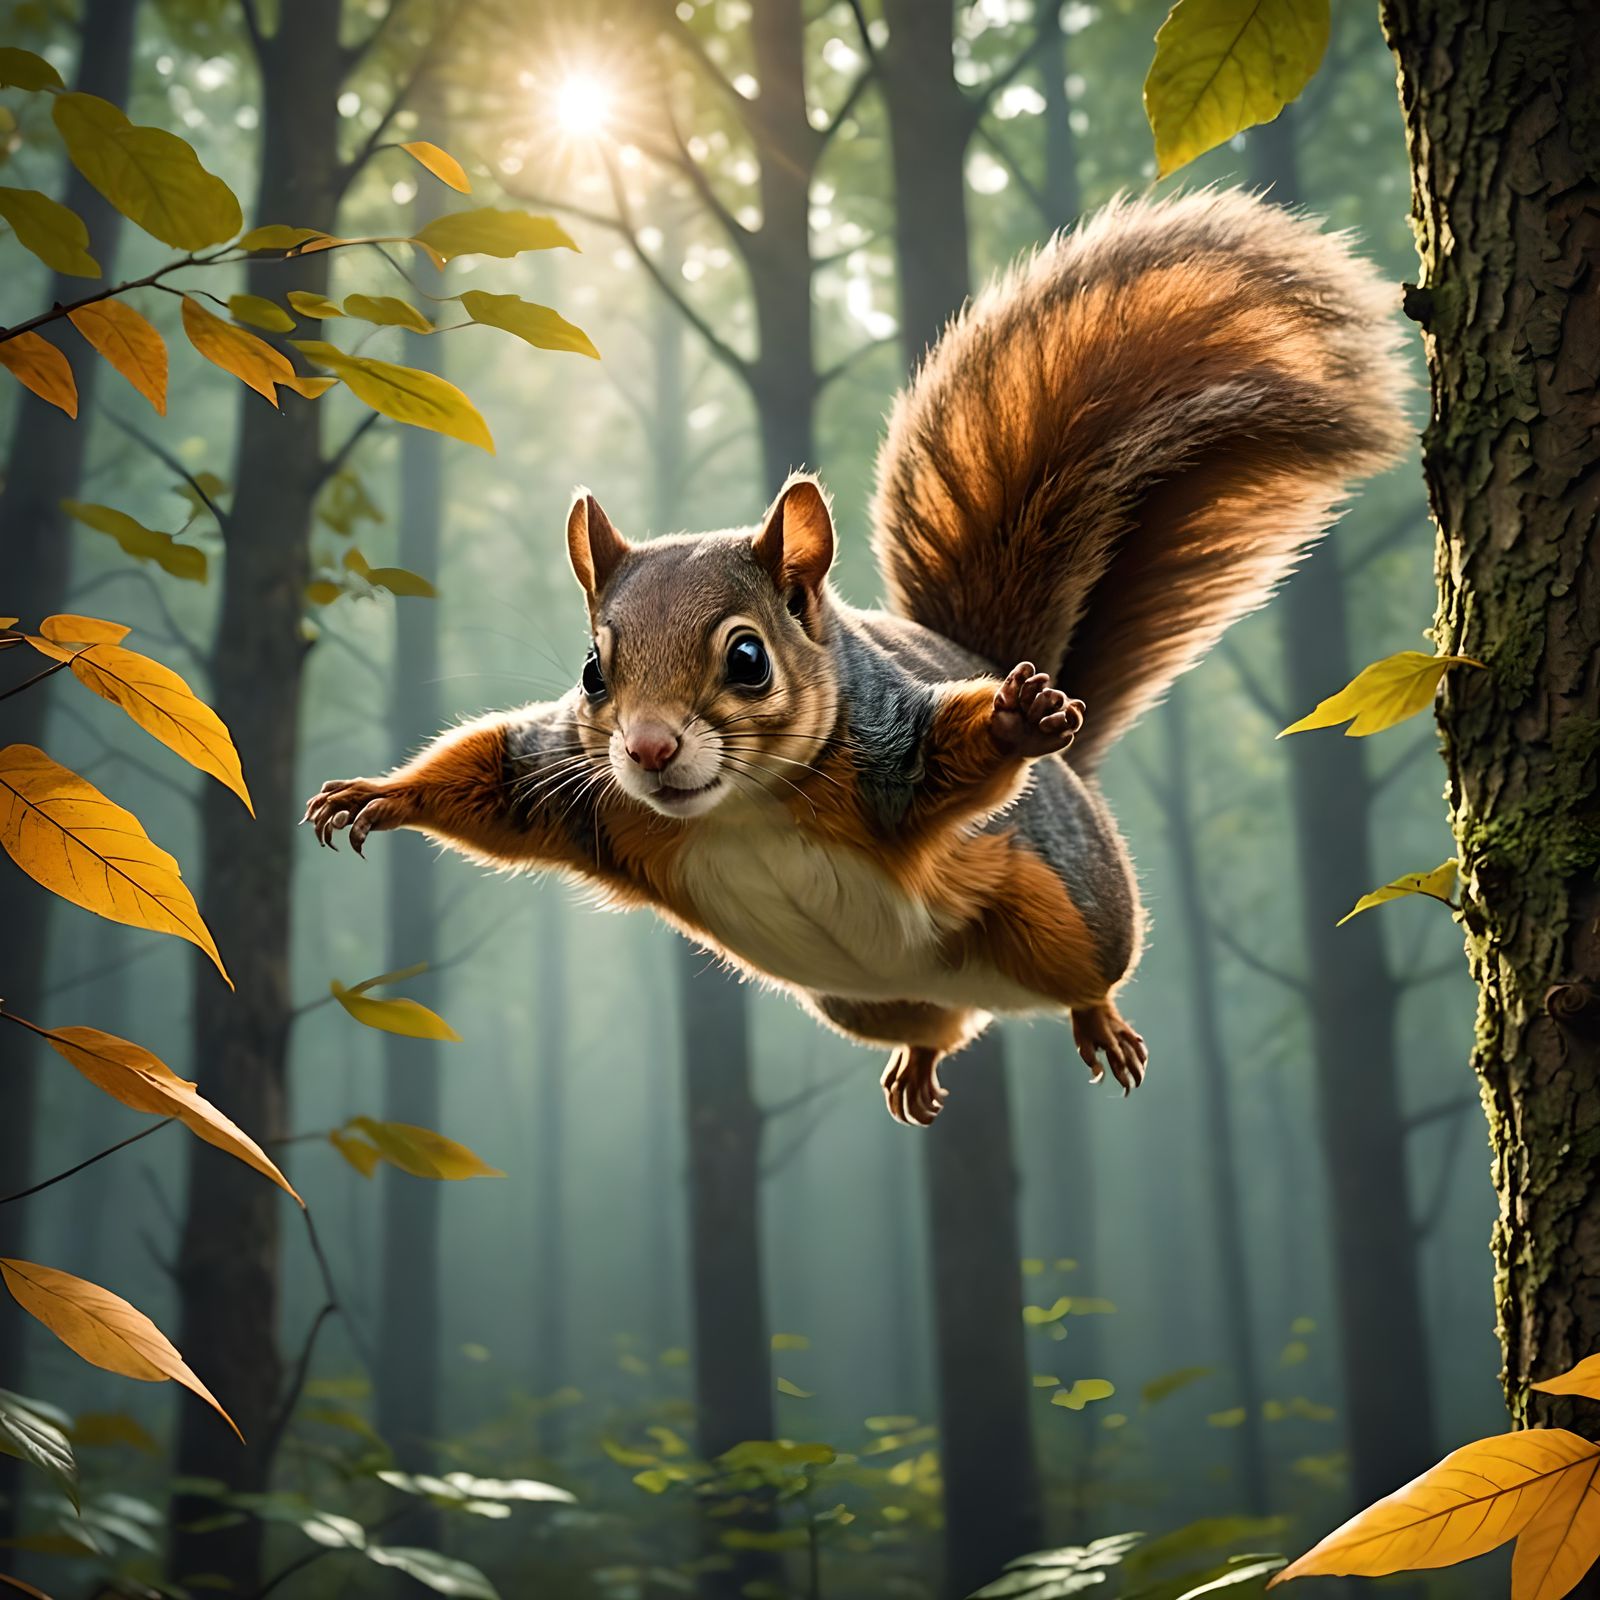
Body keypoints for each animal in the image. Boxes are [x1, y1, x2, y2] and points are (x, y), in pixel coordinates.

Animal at [305, 189, 1406, 1127]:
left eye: (748, 659)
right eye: (592, 672)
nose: (649, 750)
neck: (741, 808)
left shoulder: (887, 754)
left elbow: (946, 762)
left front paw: (1016, 719)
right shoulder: (583, 793)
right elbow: (491, 776)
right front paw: (376, 795)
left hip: (1073, 906)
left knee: (1086, 975)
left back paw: (1099, 1014)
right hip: (864, 1000)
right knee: (940, 1027)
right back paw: (920, 1060)